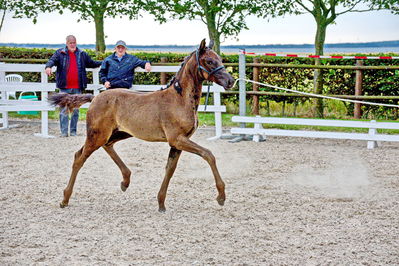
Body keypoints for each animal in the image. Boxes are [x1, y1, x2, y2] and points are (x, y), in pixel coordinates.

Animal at [49, 39, 234, 212]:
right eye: (209, 61)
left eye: (219, 59)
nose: (230, 81)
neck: (179, 99)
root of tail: (94, 97)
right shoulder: (177, 139)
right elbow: (208, 154)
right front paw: (221, 196)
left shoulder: (178, 142)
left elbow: (170, 169)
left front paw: (161, 203)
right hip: (97, 135)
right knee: (79, 158)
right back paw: (65, 199)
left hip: (118, 133)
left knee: (104, 147)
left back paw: (125, 180)